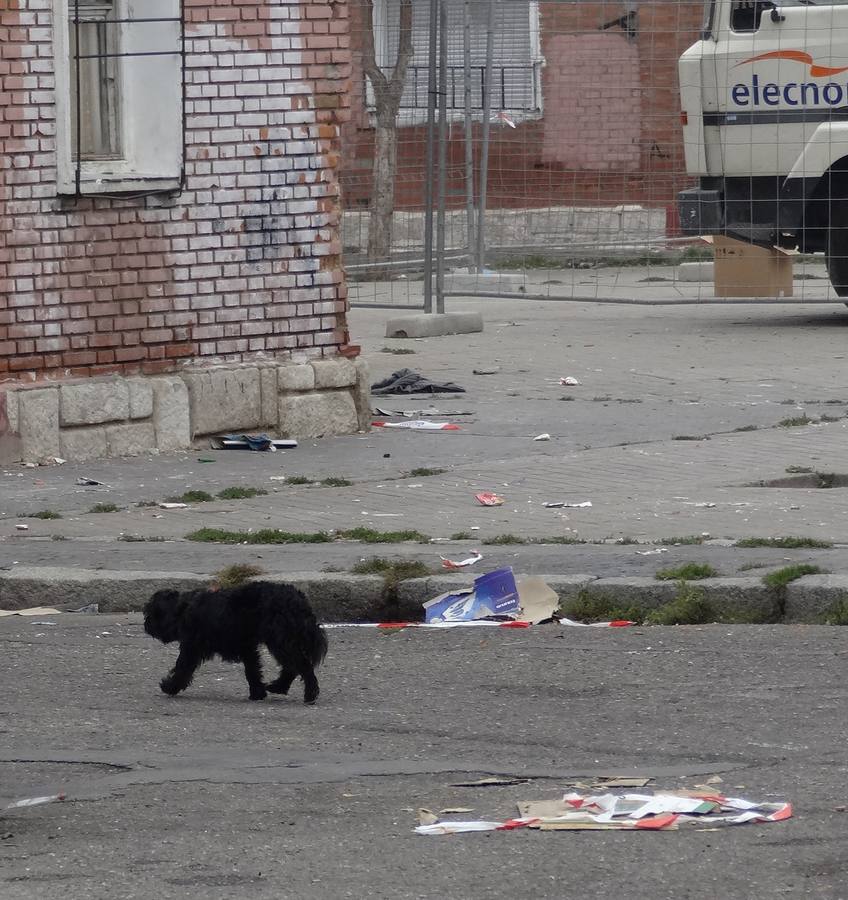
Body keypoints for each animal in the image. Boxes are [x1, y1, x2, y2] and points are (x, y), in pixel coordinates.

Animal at [142, 584, 328, 704]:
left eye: (150, 613)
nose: (146, 625)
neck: (183, 609)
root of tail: (299, 601)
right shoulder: (247, 648)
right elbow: (252, 671)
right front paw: (257, 693)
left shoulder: (191, 648)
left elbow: (182, 669)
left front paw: (169, 686)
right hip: (282, 642)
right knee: (292, 667)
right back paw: (278, 687)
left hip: (280, 641)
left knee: (302, 666)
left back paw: (310, 694)